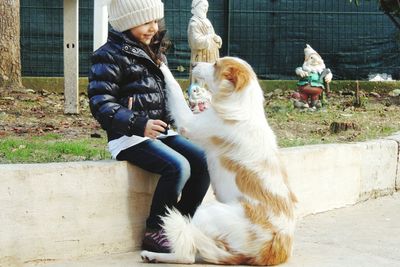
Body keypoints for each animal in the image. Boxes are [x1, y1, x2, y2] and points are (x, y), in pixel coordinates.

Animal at [141, 56, 296, 266]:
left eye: (216, 64)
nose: (193, 64)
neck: (243, 105)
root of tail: (270, 249)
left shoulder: (189, 123)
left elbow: (173, 86)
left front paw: (162, 64)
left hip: (204, 211)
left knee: (188, 255)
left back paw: (156, 255)